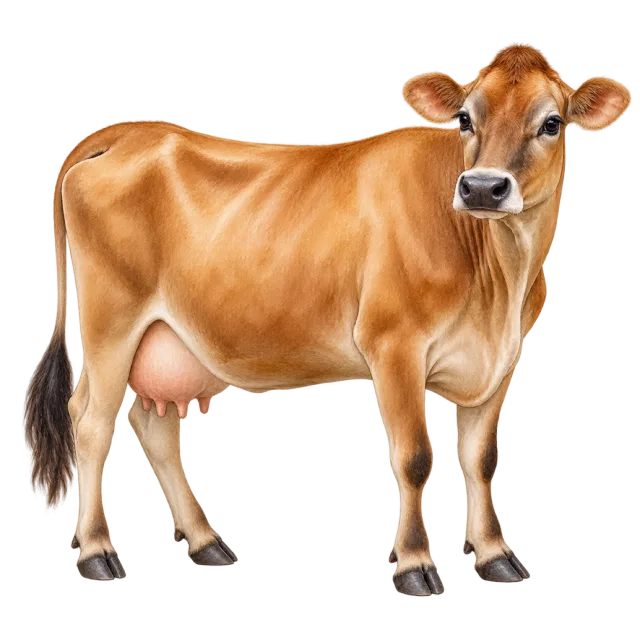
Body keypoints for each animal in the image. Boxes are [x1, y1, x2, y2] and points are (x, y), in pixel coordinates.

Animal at [24, 42, 631, 593]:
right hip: (110, 321)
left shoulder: (498, 361)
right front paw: (415, 566)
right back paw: (96, 554)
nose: (482, 187)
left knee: (154, 426)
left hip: (166, 339)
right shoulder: (393, 345)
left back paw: (206, 542)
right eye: (465, 117)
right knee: (90, 420)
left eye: (551, 123)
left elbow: (482, 461)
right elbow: (413, 457)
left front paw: (495, 557)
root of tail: (132, 132)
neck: (500, 283)